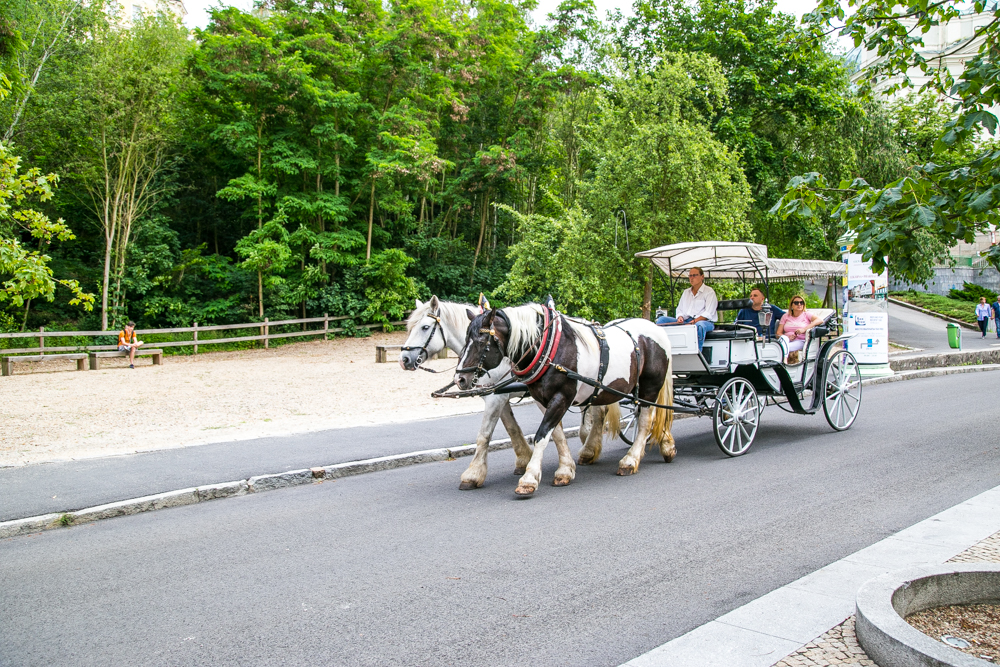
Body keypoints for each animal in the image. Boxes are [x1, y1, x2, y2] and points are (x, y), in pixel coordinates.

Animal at [398, 298, 616, 490]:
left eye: (425, 327)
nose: (404, 359)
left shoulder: (496, 399)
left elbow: (484, 435)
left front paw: (473, 474)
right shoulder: (497, 397)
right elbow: (513, 428)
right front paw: (523, 460)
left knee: (599, 412)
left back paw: (589, 449)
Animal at [458, 304, 676, 496]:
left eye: (481, 340)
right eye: (466, 339)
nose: (460, 378)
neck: (550, 349)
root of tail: (656, 328)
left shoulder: (562, 396)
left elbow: (541, 435)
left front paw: (529, 479)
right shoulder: (543, 400)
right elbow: (556, 435)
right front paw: (565, 470)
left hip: (650, 388)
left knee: (647, 420)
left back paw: (631, 460)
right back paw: (663, 446)